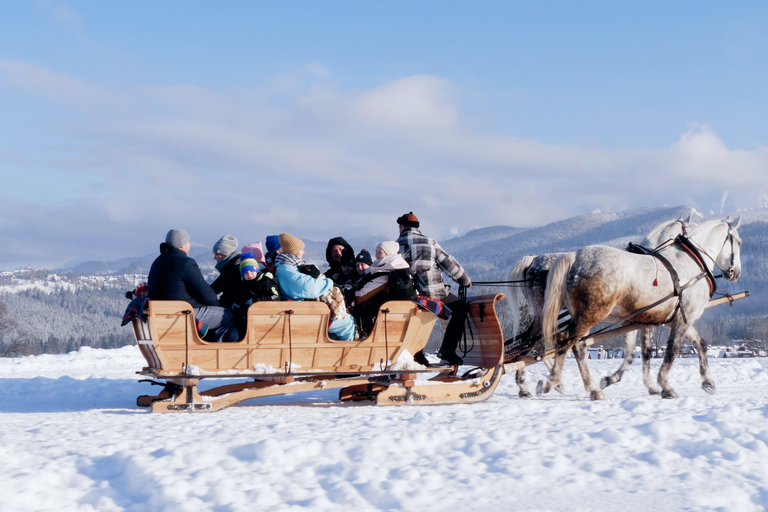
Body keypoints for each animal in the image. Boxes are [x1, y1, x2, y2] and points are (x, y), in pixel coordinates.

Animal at [536, 218, 740, 398]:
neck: (692, 264)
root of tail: (575, 255)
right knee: (566, 340)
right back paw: (553, 382)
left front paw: (707, 382)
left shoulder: (666, 320)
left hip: (582, 317)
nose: (736, 273)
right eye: (738, 242)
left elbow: (698, 344)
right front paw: (665, 385)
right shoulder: (683, 318)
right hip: (589, 315)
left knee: (576, 345)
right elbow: (670, 351)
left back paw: (590, 387)